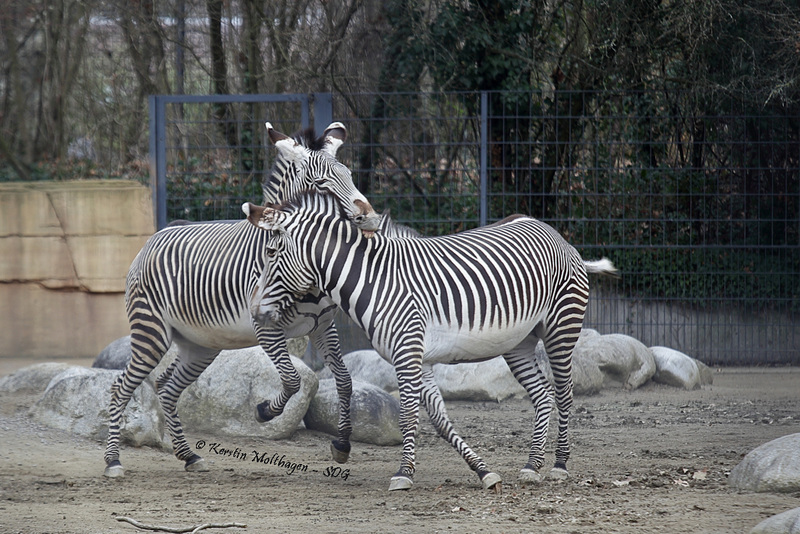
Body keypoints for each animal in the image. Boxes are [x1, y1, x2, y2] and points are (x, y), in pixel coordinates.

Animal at [101, 123, 380, 480]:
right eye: (321, 184)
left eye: (349, 174)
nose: (370, 218)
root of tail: (158, 235)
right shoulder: (266, 327)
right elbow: (292, 379)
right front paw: (264, 412)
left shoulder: (323, 326)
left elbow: (344, 381)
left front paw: (342, 444)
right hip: (151, 332)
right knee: (121, 387)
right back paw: (113, 461)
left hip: (200, 345)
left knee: (166, 386)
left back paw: (188, 455)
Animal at [241, 193, 616, 494]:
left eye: (271, 253)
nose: (255, 313)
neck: (374, 279)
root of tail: (553, 232)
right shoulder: (416, 356)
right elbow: (438, 418)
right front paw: (483, 471)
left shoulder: (407, 350)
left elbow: (409, 413)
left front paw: (404, 473)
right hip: (519, 342)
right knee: (542, 395)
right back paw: (532, 464)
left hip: (561, 327)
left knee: (563, 393)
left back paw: (559, 464)